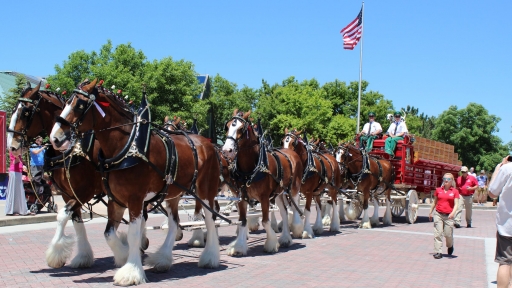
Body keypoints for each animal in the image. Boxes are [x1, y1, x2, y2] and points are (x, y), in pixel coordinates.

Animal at [50, 79, 222, 286]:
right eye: (67, 102)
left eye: (80, 105)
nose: (55, 137)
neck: (127, 148)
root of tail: (209, 143)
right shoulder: (115, 200)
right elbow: (109, 234)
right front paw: (124, 256)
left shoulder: (134, 199)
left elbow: (133, 234)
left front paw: (131, 271)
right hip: (172, 193)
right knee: (174, 222)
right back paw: (163, 259)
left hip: (205, 191)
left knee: (210, 219)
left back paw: (210, 257)